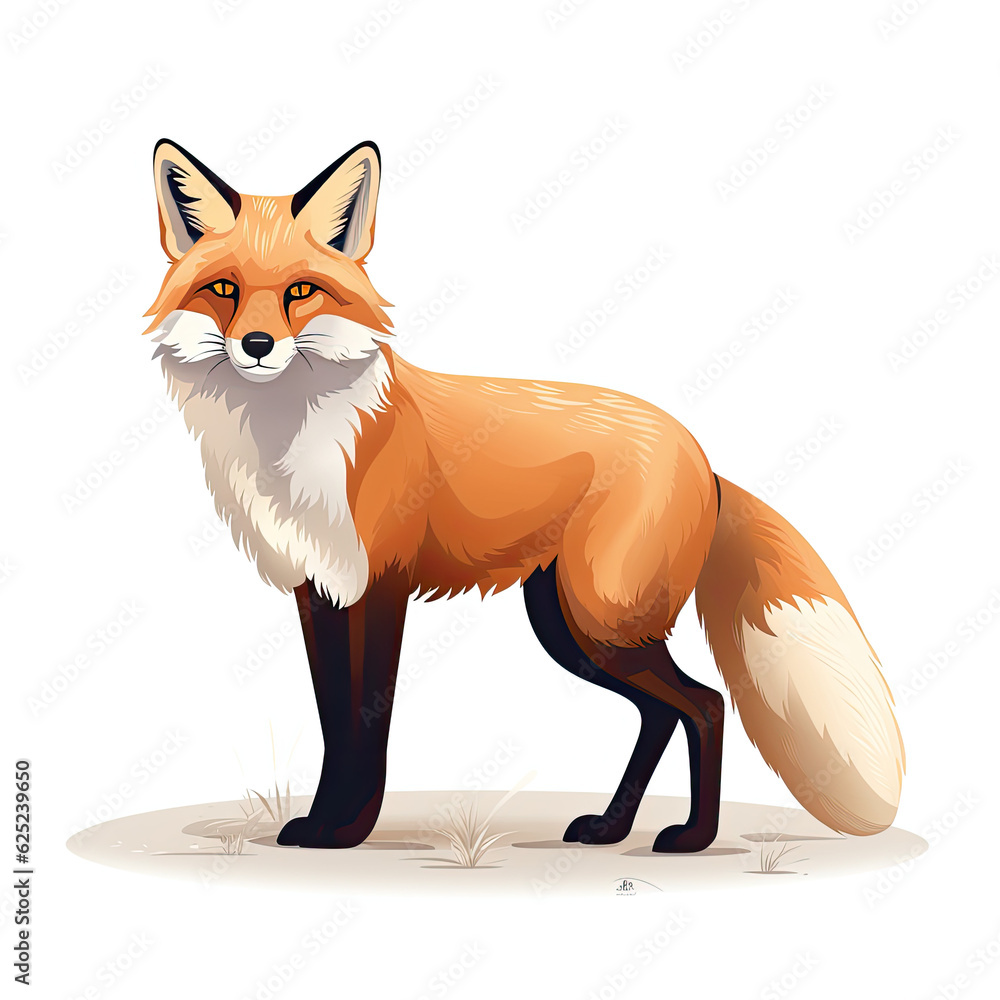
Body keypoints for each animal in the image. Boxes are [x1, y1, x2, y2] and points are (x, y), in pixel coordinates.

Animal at [144, 138, 904, 852]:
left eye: (301, 292)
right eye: (223, 289)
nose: (258, 344)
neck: (295, 438)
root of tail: (703, 457)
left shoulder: (380, 583)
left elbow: (365, 725)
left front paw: (346, 830)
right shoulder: (320, 587)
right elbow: (334, 718)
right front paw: (322, 820)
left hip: (601, 620)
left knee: (707, 705)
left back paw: (691, 838)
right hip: (568, 624)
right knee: (664, 710)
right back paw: (612, 827)